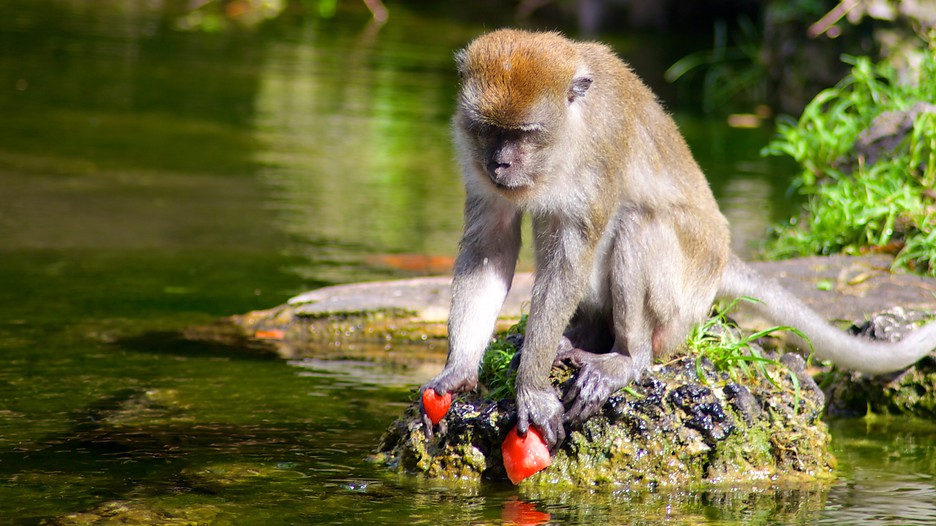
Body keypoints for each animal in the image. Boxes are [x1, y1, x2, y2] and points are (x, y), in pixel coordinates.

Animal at [420, 29, 936, 450]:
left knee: (636, 225)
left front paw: (531, 388)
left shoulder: (602, 145)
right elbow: (489, 246)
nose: (500, 164)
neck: (570, 133)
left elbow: (572, 252)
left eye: (525, 133)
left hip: (685, 292)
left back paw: (628, 358)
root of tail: (723, 257)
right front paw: (460, 369)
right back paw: (584, 334)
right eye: (488, 130)